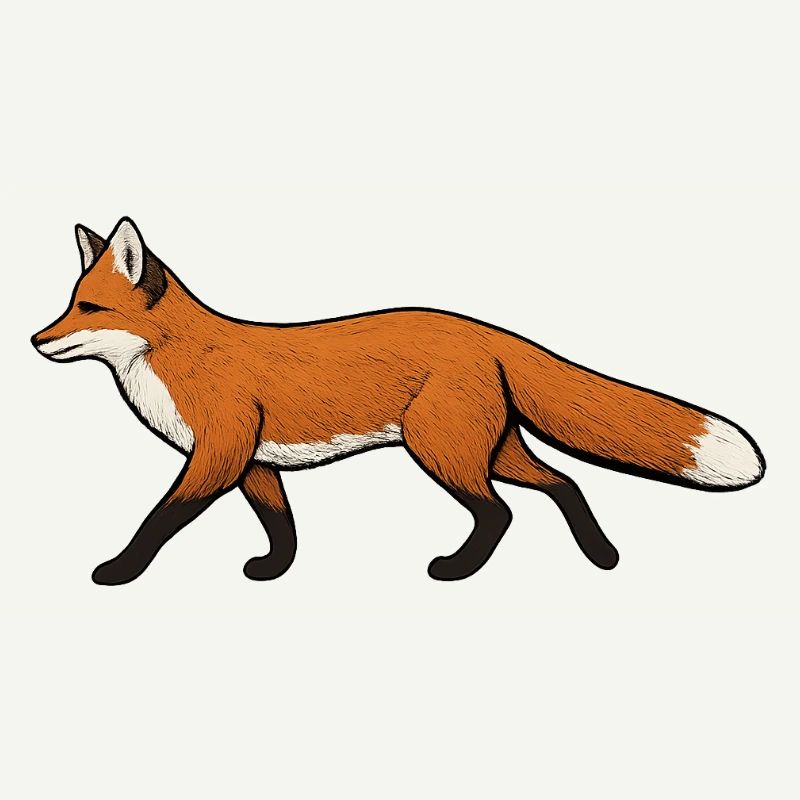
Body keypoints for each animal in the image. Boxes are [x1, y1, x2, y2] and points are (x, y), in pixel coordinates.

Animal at [32, 217, 765, 585]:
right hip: (488, 448)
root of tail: (485, 329)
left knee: (499, 513)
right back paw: (602, 557)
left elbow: (158, 520)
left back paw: (458, 570)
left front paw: (118, 571)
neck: (181, 358)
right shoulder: (255, 462)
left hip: (440, 449)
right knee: (565, 483)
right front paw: (273, 571)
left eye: (87, 309)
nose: (36, 339)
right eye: (68, 305)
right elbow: (281, 524)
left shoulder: (218, 453)